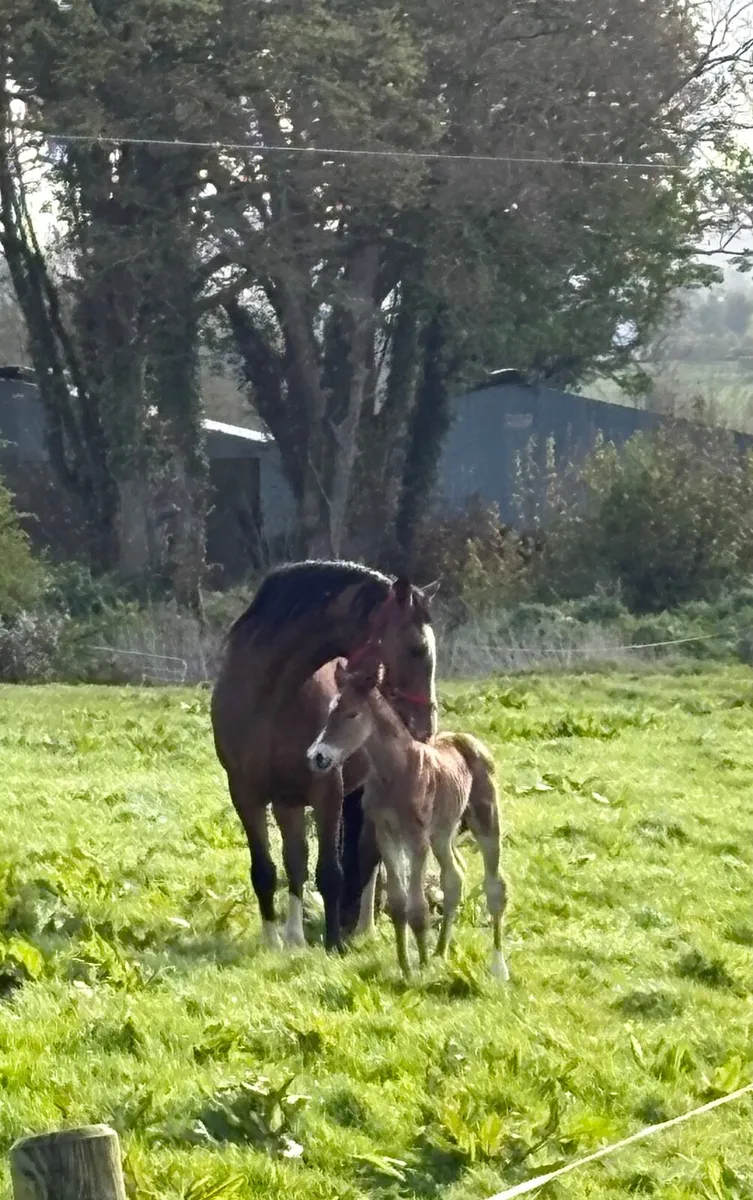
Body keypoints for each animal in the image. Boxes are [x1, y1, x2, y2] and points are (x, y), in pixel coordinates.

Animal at [210, 560, 438, 953]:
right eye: (416, 648)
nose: (426, 726)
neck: (269, 697)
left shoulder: (327, 789)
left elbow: (330, 871)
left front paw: (334, 945)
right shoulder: (250, 794)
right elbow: (273, 868)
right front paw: (279, 941)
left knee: (371, 857)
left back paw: (363, 927)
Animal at [307, 656, 509, 979]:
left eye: (352, 714)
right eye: (330, 712)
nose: (318, 757)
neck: (395, 771)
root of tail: (469, 740)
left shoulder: (416, 838)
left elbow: (417, 906)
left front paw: (421, 967)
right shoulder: (386, 832)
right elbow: (399, 903)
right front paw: (406, 964)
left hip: (485, 819)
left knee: (495, 888)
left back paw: (498, 967)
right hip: (442, 833)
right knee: (454, 877)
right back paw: (440, 951)